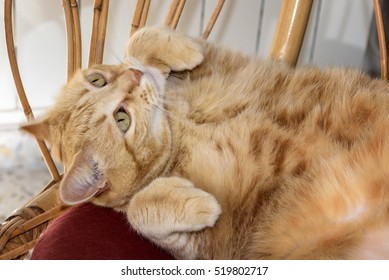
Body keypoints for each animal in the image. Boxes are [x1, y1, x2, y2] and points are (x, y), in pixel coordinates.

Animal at [22, 26, 388, 258]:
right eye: (121, 119)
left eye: (97, 80)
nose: (135, 76)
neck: (179, 124)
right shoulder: (213, 245)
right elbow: (139, 210)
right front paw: (198, 202)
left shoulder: (226, 63)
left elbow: (140, 37)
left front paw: (180, 51)